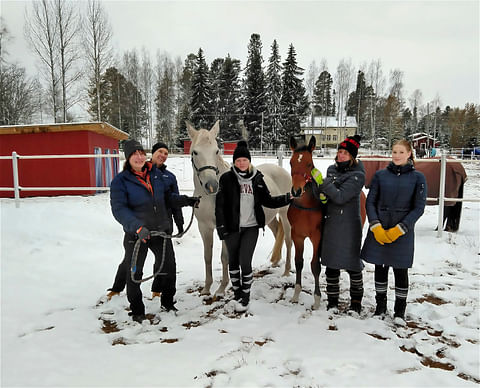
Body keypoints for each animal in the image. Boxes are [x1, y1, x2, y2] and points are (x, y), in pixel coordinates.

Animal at [188, 121, 292, 298]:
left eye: (216, 150)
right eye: (195, 152)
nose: (212, 185)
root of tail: (282, 170)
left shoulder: (226, 228)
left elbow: (225, 257)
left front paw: (221, 289)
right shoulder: (204, 227)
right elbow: (207, 257)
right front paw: (206, 288)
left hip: (285, 213)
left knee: (288, 238)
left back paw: (286, 272)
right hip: (269, 217)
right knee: (277, 230)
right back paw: (275, 262)